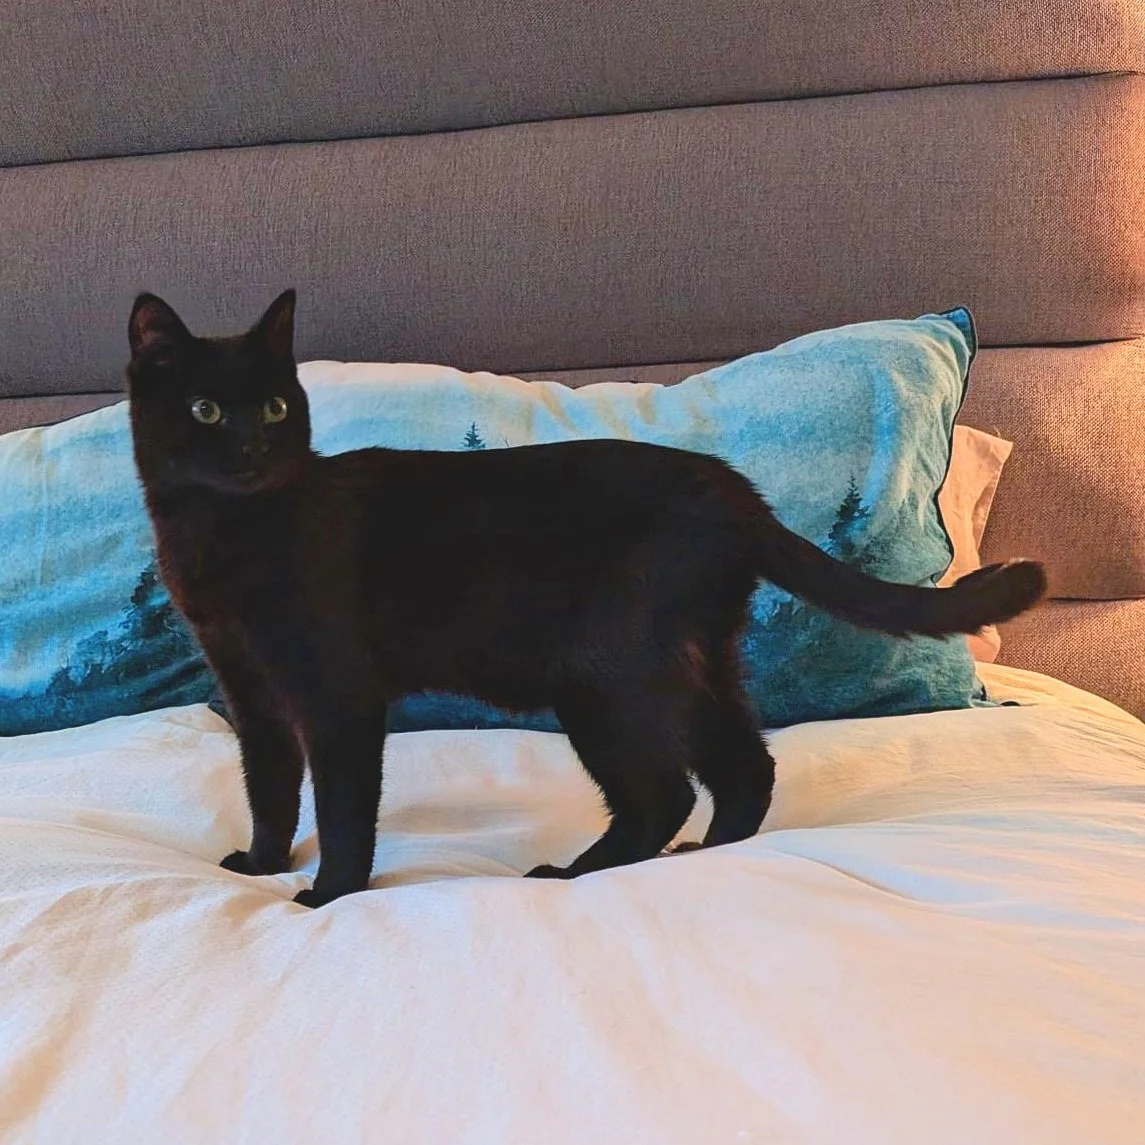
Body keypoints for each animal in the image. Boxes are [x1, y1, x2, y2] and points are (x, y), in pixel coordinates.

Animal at [126, 290, 1046, 907]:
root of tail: (734, 490)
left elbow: (345, 804)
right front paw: (261, 862)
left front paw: (327, 892)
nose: (251, 448)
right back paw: (701, 855)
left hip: (606, 673)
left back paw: (578, 871)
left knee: (665, 789)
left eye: (276, 406)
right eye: (205, 409)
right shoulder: (251, 693)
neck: (225, 532)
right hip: (687, 661)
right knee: (742, 767)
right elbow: (270, 788)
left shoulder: (336, 696)